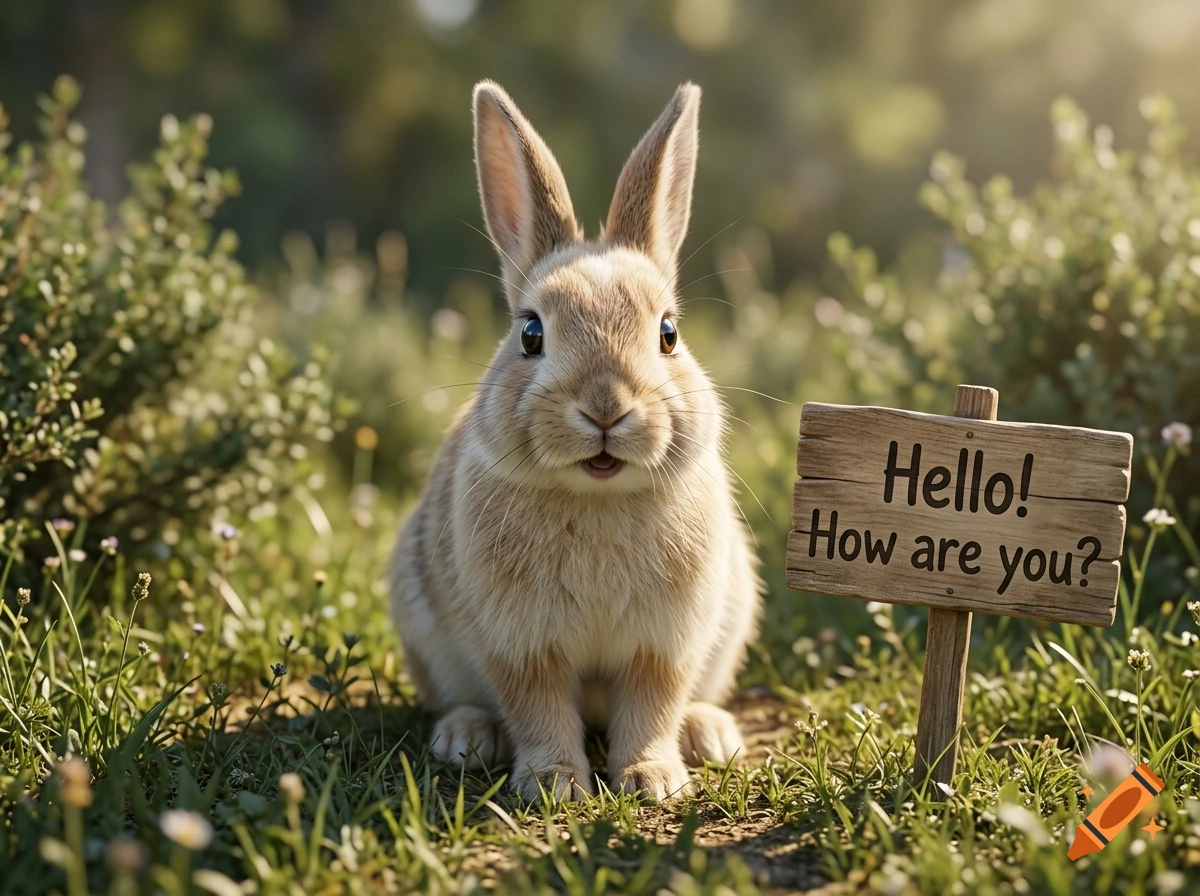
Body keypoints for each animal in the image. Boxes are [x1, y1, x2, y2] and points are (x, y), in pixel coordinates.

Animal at [390, 79, 763, 802]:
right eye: (531, 333)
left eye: (669, 333)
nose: (606, 408)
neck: (597, 496)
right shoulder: (522, 645)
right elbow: (537, 707)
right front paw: (554, 783)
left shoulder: (664, 645)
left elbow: (652, 705)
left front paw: (652, 779)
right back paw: (466, 737)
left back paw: (709, 735)